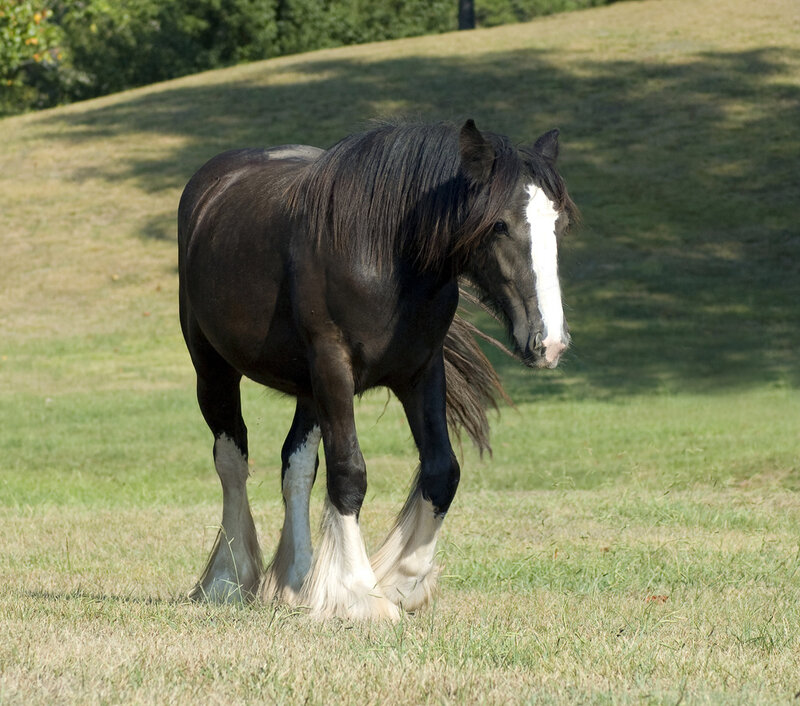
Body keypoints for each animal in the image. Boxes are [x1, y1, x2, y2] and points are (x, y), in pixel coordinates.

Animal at [177, 119, 576, 620]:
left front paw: (405, 579)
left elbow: (442, 471)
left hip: (308, 390)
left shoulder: (421, 372)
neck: (383, 255)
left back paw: (297, 581)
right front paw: (358, 593)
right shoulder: (333, 368)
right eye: (499, 223)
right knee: (232, 461)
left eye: (558, 222)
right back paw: (228, 580)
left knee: (296, 466)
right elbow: (349, 472)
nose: (549, 342)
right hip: (213, 369)